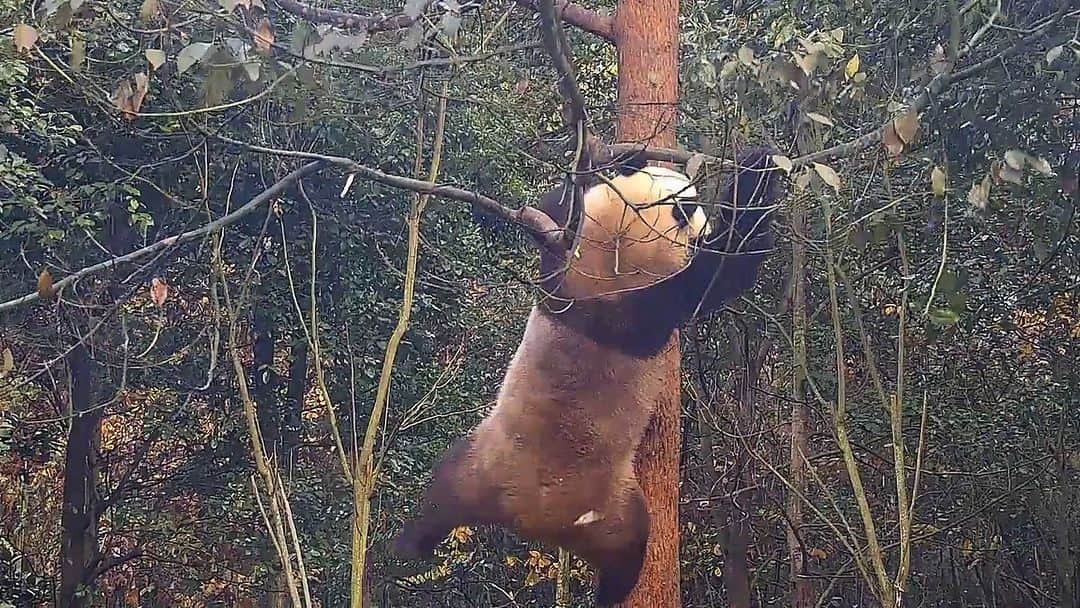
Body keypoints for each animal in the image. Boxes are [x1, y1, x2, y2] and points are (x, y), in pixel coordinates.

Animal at [394, 147, 783, 606]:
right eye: (692, 217)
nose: (702, 230)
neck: (616, 239)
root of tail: (532, 518)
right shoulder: (639, 301)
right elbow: (720, 275)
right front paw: (757, 178)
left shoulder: (565, 257)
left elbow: (548, 209)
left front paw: (609, 157)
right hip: (566, 491)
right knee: (628, 554)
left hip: (504, 476)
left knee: (439, 503)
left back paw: (407, 548)